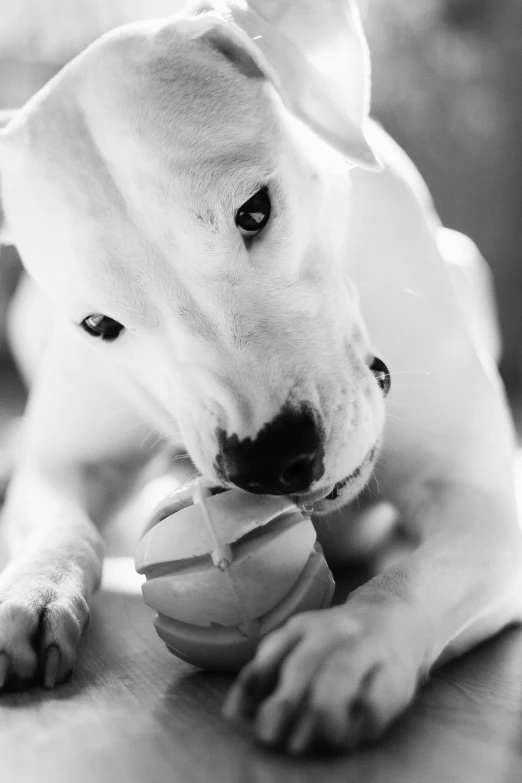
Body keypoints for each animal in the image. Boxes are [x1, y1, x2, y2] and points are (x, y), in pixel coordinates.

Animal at [1, 0, 520, 760]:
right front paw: (28, 591)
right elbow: (56, 524)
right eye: (98, 324)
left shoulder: (487, 506)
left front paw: (346, 644)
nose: (270, 460)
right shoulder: (65, 463)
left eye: (254, 210)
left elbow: (417, 574)